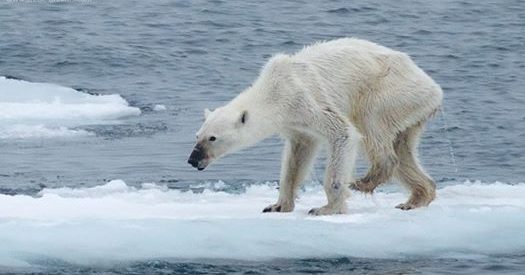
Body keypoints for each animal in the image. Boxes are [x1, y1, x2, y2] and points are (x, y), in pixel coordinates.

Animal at [188, 38, 442, 216]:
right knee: (403, 148)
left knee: (371, 125)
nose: (192, 159)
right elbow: (297, 156)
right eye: (197, 135)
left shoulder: (304, 99)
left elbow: (343, 132)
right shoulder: (295, 123)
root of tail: (434, 88)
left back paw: (364, 181)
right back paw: (415, 198)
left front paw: (327, 208)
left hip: (390, 91)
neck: (273, 90)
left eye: (212, 138)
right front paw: (277, 205)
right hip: (410, 110)